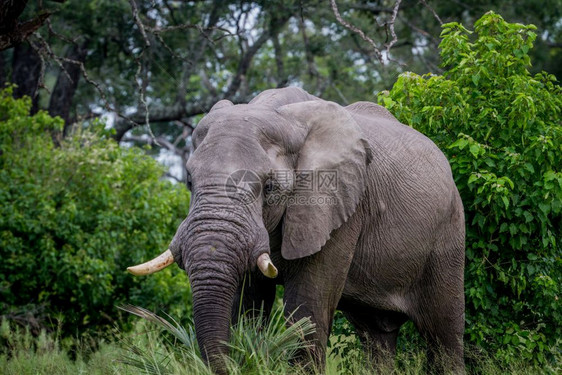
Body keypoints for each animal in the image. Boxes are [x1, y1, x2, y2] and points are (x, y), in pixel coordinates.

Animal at [127, 87, 464, 374]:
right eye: (189, 181)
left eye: (269, 187)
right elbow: (248, 302)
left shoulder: (337, 205)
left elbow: (307, 308)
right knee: (376, 336)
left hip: (449, 233)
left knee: (444, 334)